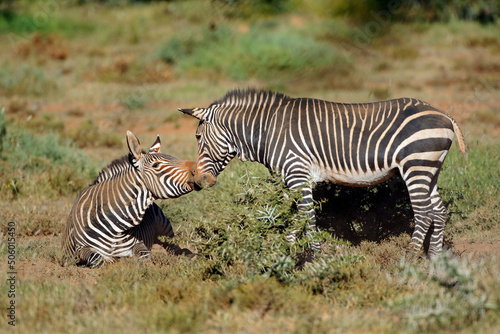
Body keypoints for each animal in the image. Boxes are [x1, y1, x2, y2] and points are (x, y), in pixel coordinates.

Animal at [61, 131, 196, 268]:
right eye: (156, 165)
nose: (196, 171)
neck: (115, 228)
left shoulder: (138, 243)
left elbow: (144, 255)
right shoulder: (79, 248)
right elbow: (96, 258)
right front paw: (111, 261)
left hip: (165, 228)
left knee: (174, 248)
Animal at [179, 88, 464, 258]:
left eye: (197, 137)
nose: (200, 181)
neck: (268, 131)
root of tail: (445, 115)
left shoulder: (298, 174)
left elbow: (307, 217)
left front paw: (314, 257)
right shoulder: (290, 180)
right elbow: (291, 217)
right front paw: (284, 252)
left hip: (417, 166)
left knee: (424, 213)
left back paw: (410, 257)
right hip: (429, 170)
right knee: (439, 211)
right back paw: (435, 260)